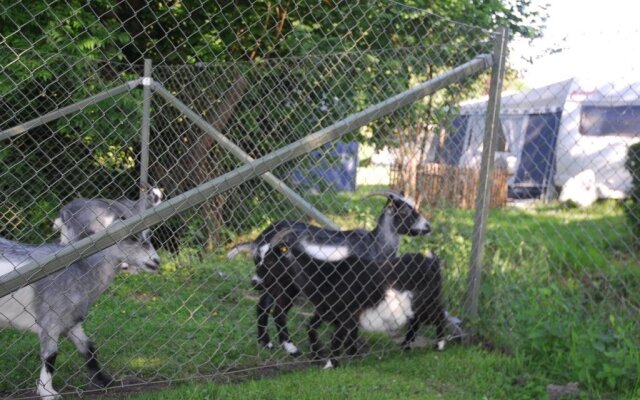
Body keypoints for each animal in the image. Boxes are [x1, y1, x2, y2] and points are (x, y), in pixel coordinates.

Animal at [228, 191, 432, 356]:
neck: (376, 244)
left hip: (276, 282)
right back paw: (284, 347)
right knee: (273, 309)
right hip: (282, 282)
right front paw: (351, 350)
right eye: (405, 212)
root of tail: (260, 238)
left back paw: (270, 344)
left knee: (267, 307)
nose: (428, 227)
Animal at [256, 231, 444, 368]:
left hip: (428, 303)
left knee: (439, 317)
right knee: (415, 321)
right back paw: (406, 345)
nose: (255, 282)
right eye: (259, 259)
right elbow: (312, 327)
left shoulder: (345, 313)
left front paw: (331, 364)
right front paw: (319, 356)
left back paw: (440, 345)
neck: (329, 273)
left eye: (272, 260)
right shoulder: (327, 309)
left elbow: (337, 338)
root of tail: (432, 262)